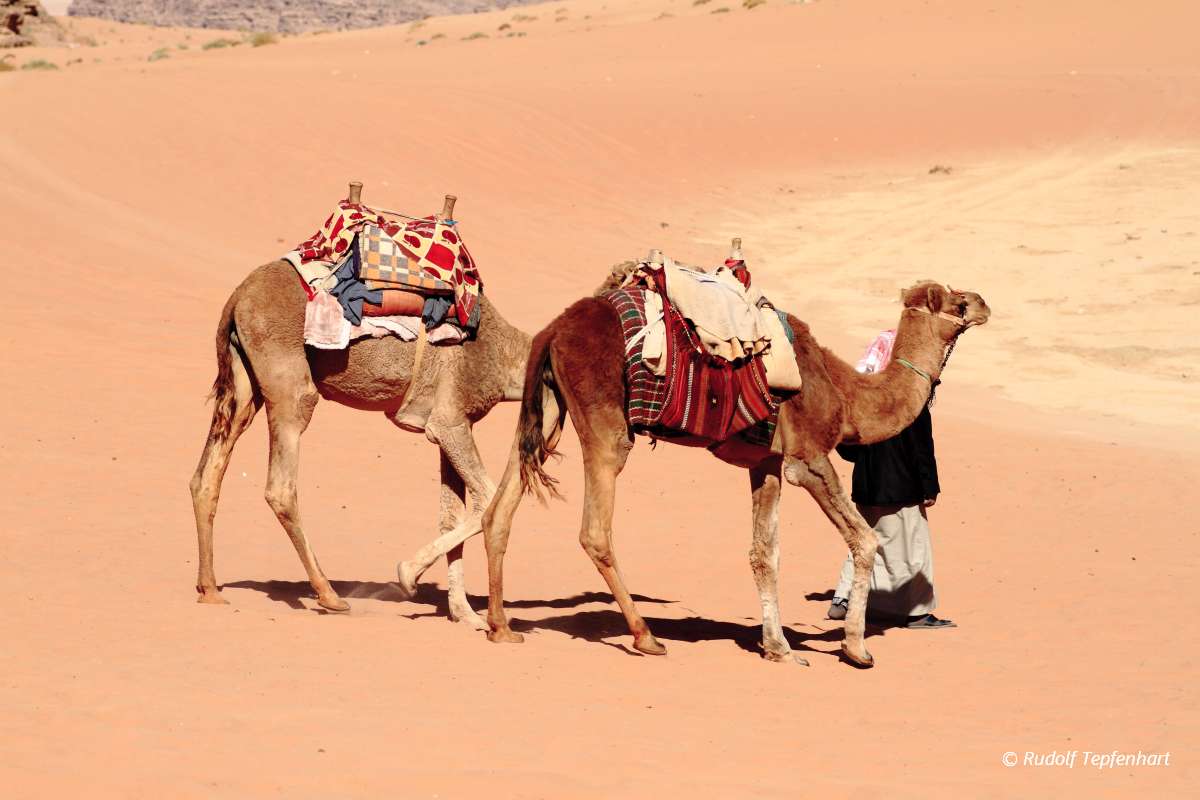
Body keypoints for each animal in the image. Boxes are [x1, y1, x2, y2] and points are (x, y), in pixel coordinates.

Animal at [189, 191, 530, 629]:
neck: (504, 356)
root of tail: (236, 298)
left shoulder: (449, 425)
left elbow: (452, 513)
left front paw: (464, 613)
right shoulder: (450, 421)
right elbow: (488, 497)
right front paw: (409, 577)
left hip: (244, 383)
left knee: (207, 474)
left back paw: (210, 588)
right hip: (288, 380)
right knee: (281, 485)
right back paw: (329, 595)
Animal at [481, 273, 989, 667]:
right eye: (957, 301)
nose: (985, 303)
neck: (847, 397)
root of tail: (552, 330)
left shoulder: (765, 462)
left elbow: (764, 554)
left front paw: (779, 648)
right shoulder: (807, 459)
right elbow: (864, 540)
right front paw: (856, 650)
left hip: (549, 407)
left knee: (499, 510)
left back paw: (501, 627)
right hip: (605, 420)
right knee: (594, 530)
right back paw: (646, 637)